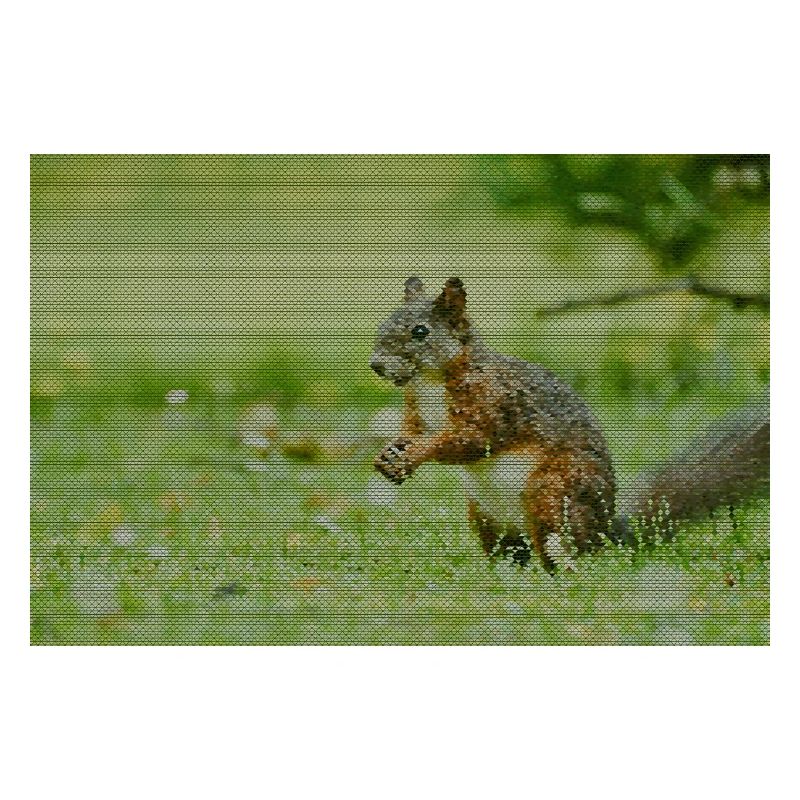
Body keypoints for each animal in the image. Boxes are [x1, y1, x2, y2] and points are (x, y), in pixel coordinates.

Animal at [370, 276, 769, 571]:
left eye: (420, 332)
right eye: (384, 322)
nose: (376, 365)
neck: (431, 381)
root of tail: (606, 530)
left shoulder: (497, 403)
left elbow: (470, 439)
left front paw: (416, 453)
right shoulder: (417, 410)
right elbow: (412, 431)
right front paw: (390, 453)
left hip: (554, 492)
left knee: (567, 547)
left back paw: (562, 573)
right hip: (485, 517)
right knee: (513, 553)